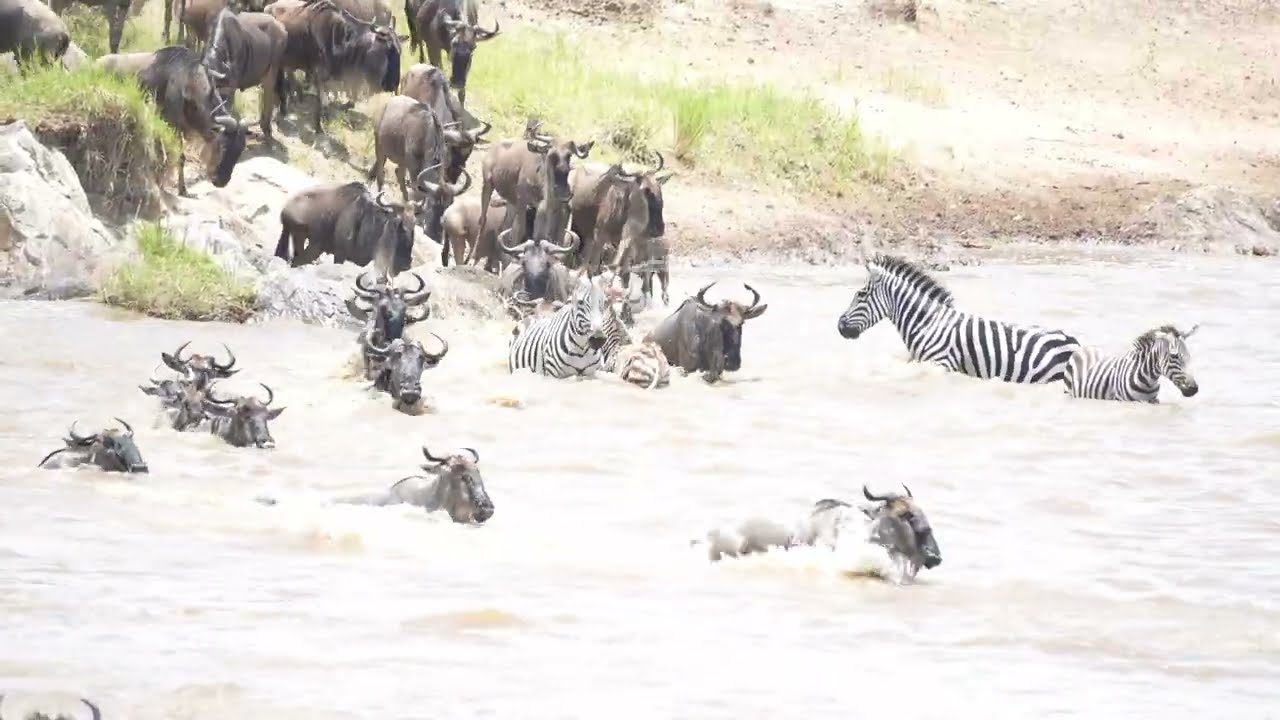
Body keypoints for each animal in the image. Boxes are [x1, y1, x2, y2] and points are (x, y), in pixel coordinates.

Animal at [1063, 324, 1200, 403]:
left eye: (1189, 356)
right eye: (1174, 356)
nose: (1194, 389)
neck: (1148, 381)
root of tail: (1083, 348)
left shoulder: (1153, 401)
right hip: (1068, 392)